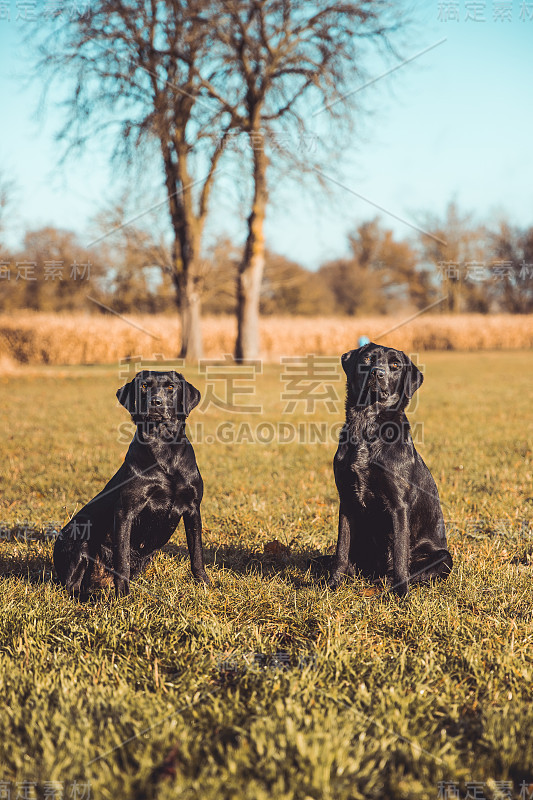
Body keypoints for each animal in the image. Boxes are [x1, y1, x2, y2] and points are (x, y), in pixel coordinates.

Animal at [53, 372, 209, 596]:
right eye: (144, 386)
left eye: (171, 387)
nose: (155, 402)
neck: (163, 448)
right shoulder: (125, 511)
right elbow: (122, 561)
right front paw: (123, 596)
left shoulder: (193, 508)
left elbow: (197, 554)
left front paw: (206, 584)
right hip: (80, 533)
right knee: (71, 586)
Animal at [326, 340, 450, 596]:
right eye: (367, 359)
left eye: (395, 365)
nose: (377, 373)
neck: (367, 427)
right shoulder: (346, 500)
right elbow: (341, 549)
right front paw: (333, 584)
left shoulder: (398, 505)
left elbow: (401, 555)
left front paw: (401, 594)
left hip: (443, 558)